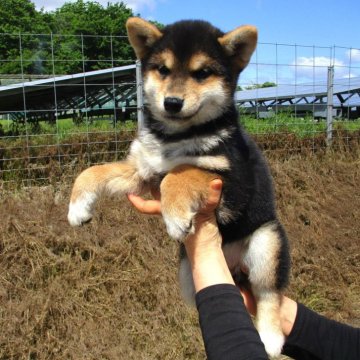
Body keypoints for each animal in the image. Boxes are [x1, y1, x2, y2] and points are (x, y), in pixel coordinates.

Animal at [68, 17, 290, 358]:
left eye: (202, 73)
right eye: (163, 69)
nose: (172, 103)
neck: (174, 137)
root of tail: (234, 265)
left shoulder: (232, 182)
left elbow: (180, 173)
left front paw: (174, 216)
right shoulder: (141, 169)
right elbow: (92, 172)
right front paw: (78, 207)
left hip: (267, 244)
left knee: (268, 293)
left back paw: (270, 336)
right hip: (188, 275)